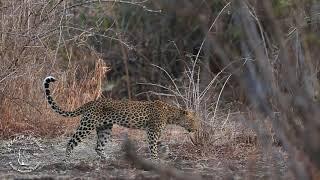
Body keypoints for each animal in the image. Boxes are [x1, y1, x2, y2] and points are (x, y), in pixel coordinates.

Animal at [42, 75, 198, 160]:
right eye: (192, 121)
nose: (196, 129)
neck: (171, 114)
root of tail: (91, 102)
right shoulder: (152, 132)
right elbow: (153, 147)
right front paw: (155, 159)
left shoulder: (155, 132)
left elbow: (162, 144)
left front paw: (166, 153)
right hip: (87, 125)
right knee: (71, 142)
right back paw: (66, 160)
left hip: (105, 128)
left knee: (98, 147)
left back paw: (107, 159)